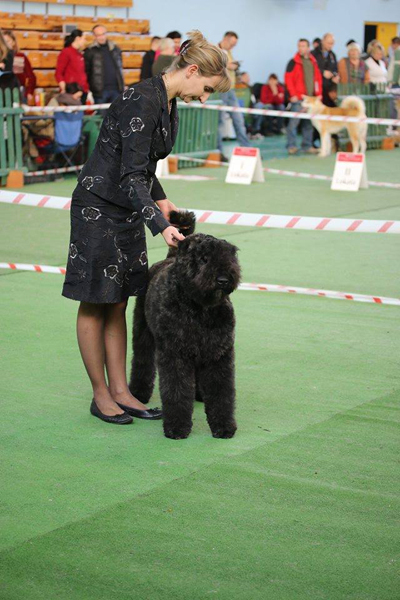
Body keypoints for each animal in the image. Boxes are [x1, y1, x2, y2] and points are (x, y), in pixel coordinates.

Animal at [129, 211, 241, 440]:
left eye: (230, 256)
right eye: (203, 258)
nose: (223, 279)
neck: (200, 308)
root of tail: (169, 258)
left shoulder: (219, 354)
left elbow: (222, 392)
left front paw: (224, 426)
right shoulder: (175, 354)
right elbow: (177, 390)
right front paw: (177, 427)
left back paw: (200, 394)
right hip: (143, 332)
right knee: (142, 361)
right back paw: (138, 393)